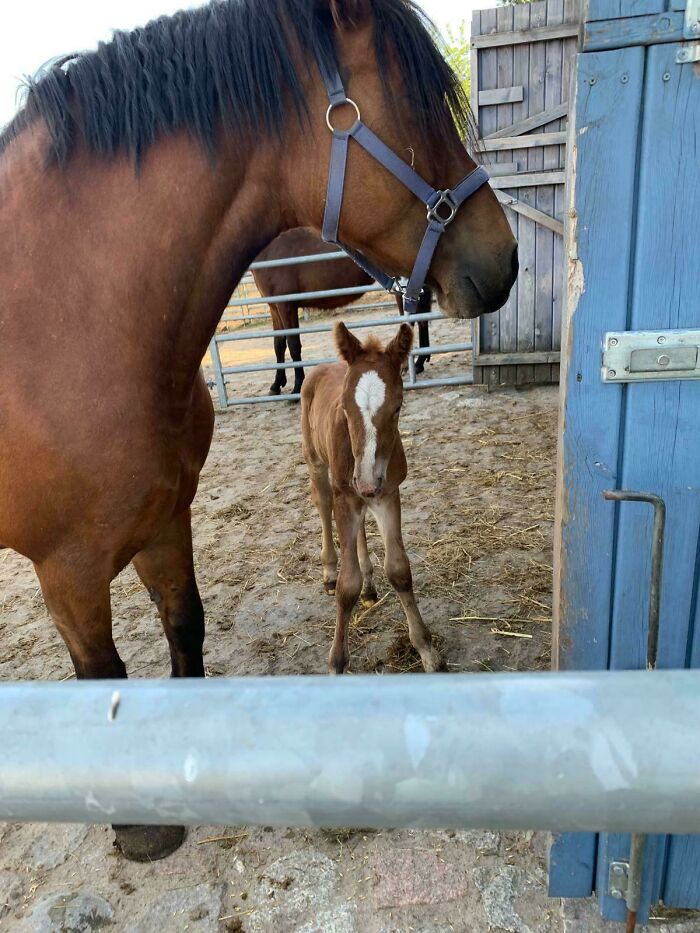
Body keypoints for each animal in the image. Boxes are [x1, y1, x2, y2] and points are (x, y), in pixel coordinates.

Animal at [251, 228, 432, 397]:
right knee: (422, 320)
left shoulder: (286, 306)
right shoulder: (275, 307)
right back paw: (419, 363)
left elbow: (294, 344)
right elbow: (279, 344)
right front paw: (276, 385)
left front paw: (297, 387)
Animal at [302, 322, 444, 675]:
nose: (366, 481)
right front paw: (337, 662)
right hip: (318, 464)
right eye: (344, 407)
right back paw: (329, 572)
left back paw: (369, 585)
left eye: (397, 408)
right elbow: (346, 585)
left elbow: (399, 570)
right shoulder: (347, 494)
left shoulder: (388, 493)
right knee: (323, 505)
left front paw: (427, 651)